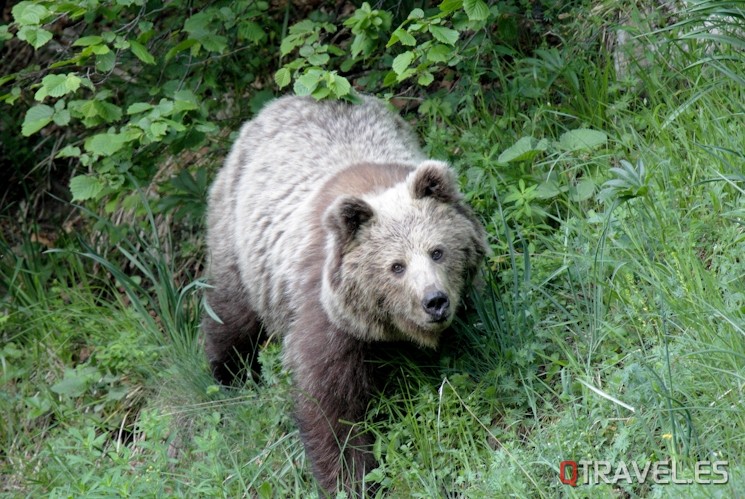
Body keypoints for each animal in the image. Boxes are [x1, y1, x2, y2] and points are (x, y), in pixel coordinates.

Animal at [201, 94, 486, 496]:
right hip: (239, 243)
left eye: (437, 251)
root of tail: (277, 102)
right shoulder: (324, 314)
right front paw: (350, 479)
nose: (435, 301)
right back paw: (227, 374)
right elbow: (331, 408)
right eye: (396, 266)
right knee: (230, 313)